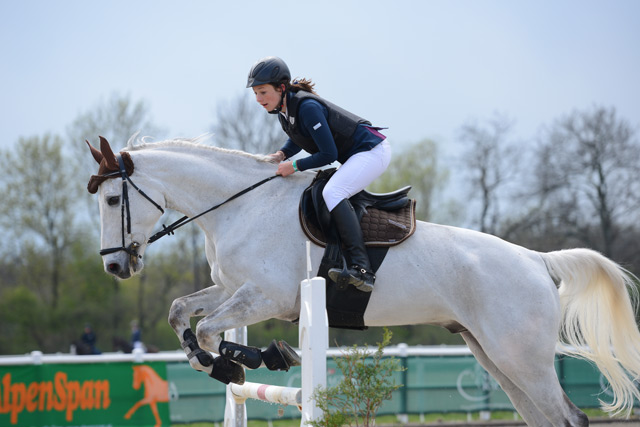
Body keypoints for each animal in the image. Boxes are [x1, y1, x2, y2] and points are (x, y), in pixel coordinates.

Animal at [86, 138, 640, 427]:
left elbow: (205, 331)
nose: (115, 268)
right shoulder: (232, 290)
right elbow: (183, 313)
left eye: (113, 200)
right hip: (495, 356)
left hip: (520, 357)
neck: (240, 206)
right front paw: (233, 361)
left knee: (568, 418)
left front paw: (249, 361)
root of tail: (536, 259)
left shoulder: (268, 296)